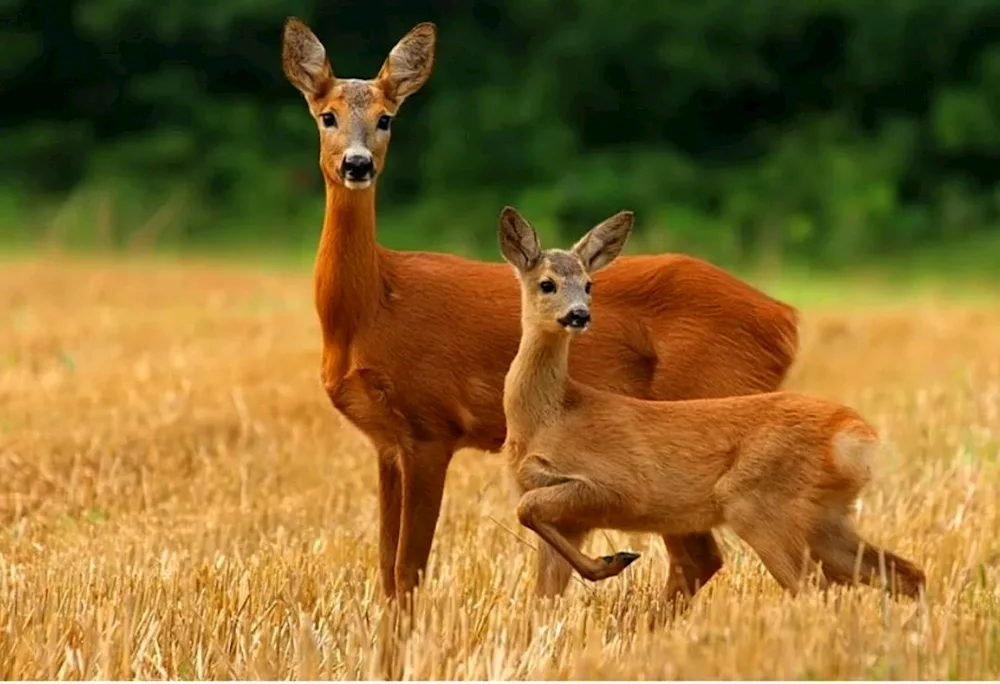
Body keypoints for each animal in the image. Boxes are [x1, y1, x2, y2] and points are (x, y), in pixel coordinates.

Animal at [282, 16, 804, 600]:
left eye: (386, 118)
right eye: (327, 115)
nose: (358, 164)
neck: (373, 306)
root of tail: (785, 319)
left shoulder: (431, 427)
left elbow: (408, 568)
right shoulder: (387, 442)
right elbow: (387, 572)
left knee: (701, 554)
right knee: (698, 557)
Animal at [500, 206, 928, 600]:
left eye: (589, 285)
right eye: (547, 284)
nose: (579, 315)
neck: (550, 415)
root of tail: (855, 436)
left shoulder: (621, 485)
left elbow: (528, 509)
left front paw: (615, 561)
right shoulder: (563, 512)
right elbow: (541, 590)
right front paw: (607, 564)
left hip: (760, 504)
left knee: (814, 590)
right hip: (825, 516)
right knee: (905, 572)